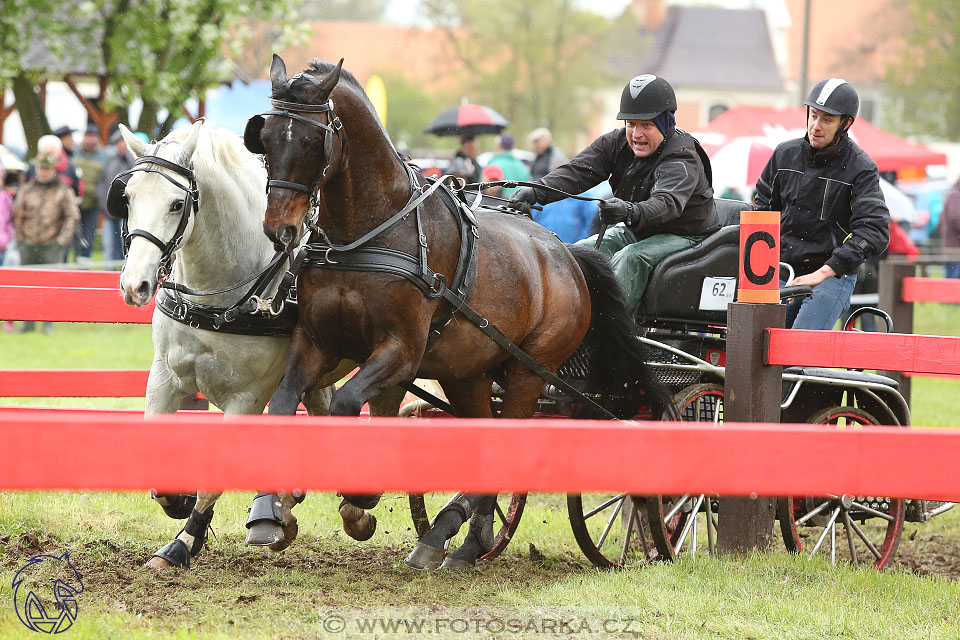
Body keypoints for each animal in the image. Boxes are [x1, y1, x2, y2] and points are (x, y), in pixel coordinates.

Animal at [116, 120, 404, 568]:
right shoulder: (165, 377)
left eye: (177, 204)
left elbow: (217, 476)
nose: (135, 285)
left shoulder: (249, 397)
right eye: (127, 198)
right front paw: (178, 503)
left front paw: (183, 542)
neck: (221, 294)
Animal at [248, 56, 668, 568]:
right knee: (482, 435)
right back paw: (464, 538)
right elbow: (283, 403)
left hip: (529, 370)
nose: (280, 230)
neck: (365, 234)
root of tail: (567, 255)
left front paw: (360, 500)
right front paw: (270, 511)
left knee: (510, 440)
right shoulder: (316, 342)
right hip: (468, 372)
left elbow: (347, 405)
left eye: (312, 140)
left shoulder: (401, 352)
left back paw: (457, 532)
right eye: (266, 138)